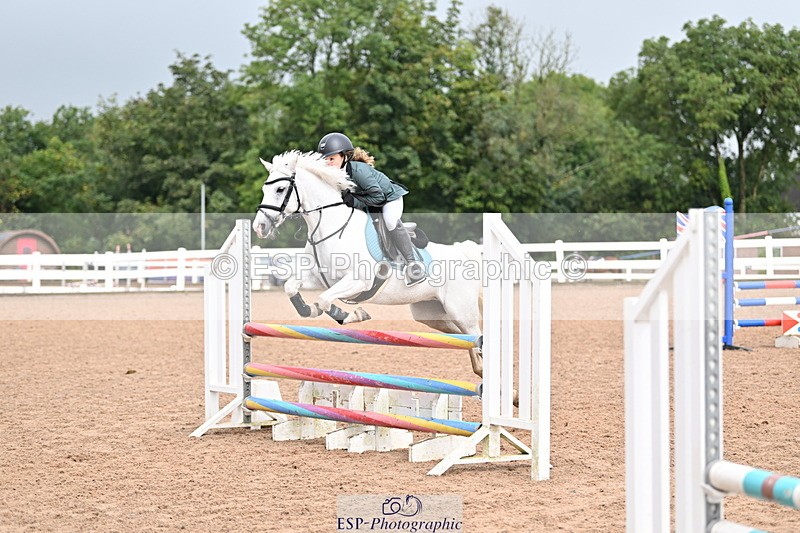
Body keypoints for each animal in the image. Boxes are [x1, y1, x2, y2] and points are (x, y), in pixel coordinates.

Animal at [252, 150, 485, 378]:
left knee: (475, 333)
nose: (259, 227)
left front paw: (351, 315)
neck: (331, 226)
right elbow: (291, 287)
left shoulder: (357, 281)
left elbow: (325, 299)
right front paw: (309, 310)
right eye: (264, 188)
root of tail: (463, 253)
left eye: (280, 189)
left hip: (460, 311)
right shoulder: (317, 277)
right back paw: (479, 368)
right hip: (432, 315)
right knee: (465, 337)